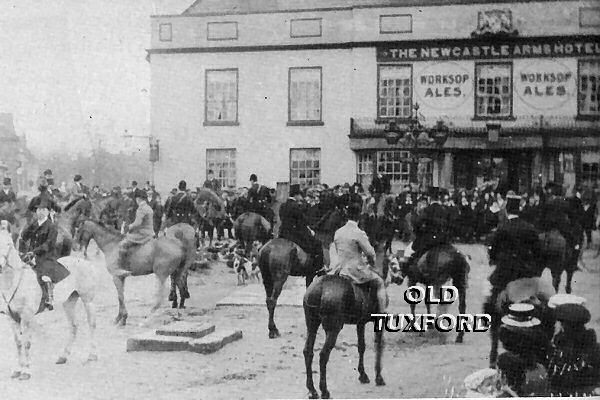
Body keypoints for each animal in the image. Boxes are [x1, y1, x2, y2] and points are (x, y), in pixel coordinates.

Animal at [0, 230, 99, 380]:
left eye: (8, 244)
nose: (0, 266)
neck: (13, 282)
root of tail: (84, 262)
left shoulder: (27, 317)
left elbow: (26, 343)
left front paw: (26, 371)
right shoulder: (11, 318)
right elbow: (18, 343)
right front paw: (17, 369)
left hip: (88, 301)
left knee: (91, 325)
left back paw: (92, 355)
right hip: (69, 303)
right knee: (74, 326)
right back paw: (63, 356)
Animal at [302, 217, 392, 398]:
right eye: (387, 262)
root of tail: (320, 288)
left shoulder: (360, 323)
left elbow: (361, 346)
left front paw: (363, 375)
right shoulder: (378, 322)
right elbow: (378, 345)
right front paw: (378, 377)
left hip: (312, 324)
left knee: (308, 352)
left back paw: (312, 389)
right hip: (334, 328)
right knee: (323, 355)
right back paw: (324, 390)